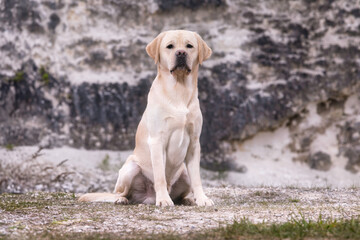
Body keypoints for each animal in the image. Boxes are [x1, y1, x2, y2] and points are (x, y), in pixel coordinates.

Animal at [79, 30, 214, 206]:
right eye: (170, 46)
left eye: (189, 46)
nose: (181, 53)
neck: (179, 90)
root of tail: (147, 197)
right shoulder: (157, 141)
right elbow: (160, 175)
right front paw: (163, 200)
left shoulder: (194, 142)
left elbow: (197, 178)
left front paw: (202, 199)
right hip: (131, 167)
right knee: (121, 193)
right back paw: (122, 199)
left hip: (184, 173)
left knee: (182, 191)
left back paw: (188, 200)